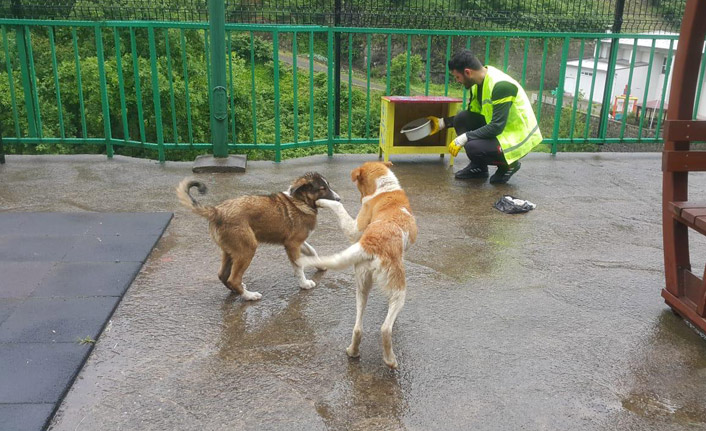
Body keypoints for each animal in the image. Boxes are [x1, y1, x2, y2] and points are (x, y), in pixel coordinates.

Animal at [177, 172, 340, 300]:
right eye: (322, 189)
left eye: (328, 186)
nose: (338, 200)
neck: (300, 201)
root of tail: (217, 211)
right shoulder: (292, 244)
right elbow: (298, 266)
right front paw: (304, 284)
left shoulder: (296, 241)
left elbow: (312, 251)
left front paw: (320, 265)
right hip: (247, 248)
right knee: (233, 279)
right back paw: (249, 296)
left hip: (230, 250)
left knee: (223, 276)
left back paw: (240, 291)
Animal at [298, 160, 418, 370]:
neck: (385, 188)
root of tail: (370, 243)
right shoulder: (355, 229)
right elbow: (339, 207)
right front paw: (322, 202)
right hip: (399, 291)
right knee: (385, 328)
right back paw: (390, 360)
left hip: (361, 286)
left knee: (358, 328)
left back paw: (353, 351)